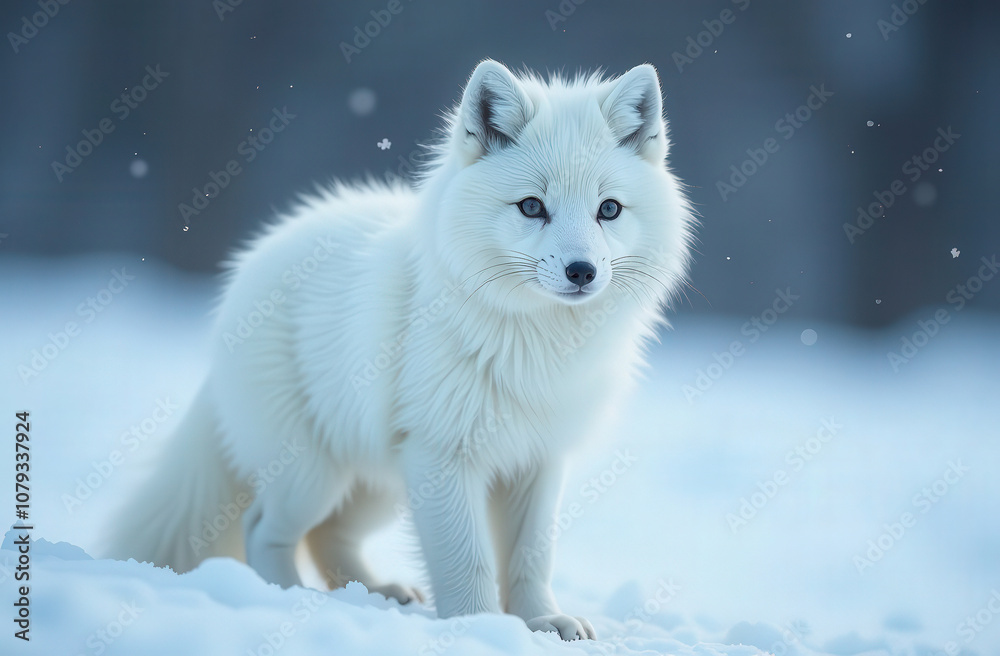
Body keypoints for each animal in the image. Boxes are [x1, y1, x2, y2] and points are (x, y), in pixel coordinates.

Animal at [106, 59, 695, 641]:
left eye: (609, 209)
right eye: (532, 207)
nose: (582, 271)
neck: (537, 346)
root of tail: (249, 268)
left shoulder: (538, 459)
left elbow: (531, 556)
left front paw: (540, 621)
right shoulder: (443, 453)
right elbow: (467, 561)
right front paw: (481, 627)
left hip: (378, 485)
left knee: (327, 536)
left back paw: (372, 593)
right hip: (314, 476)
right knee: (264, 529)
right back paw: (289, 598)